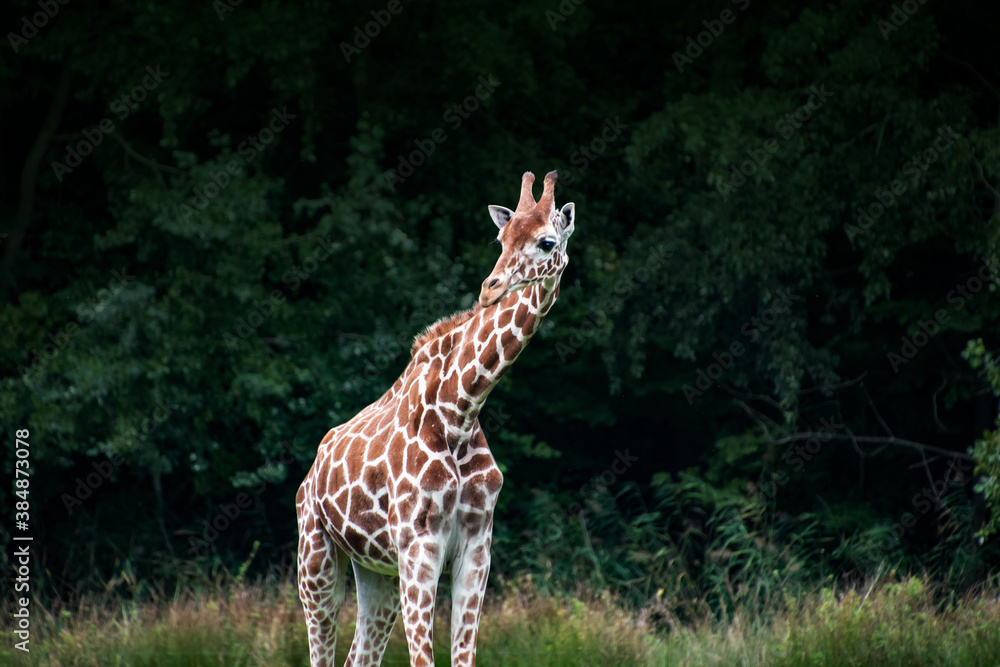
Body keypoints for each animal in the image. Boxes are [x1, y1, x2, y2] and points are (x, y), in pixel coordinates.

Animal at [296, 170, 575, 666]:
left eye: (547, 242)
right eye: (501, 237)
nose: (490, 288)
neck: (460, 410)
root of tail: (309, 476)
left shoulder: (476, 548)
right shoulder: (418, 546)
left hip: (376, 573)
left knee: (358, 655)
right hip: (316, 562)